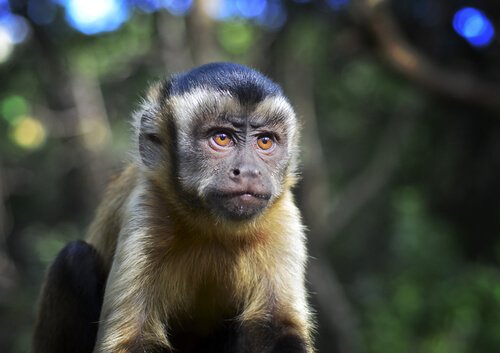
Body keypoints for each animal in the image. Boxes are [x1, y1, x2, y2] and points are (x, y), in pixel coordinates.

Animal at [32, 63, 312, 352]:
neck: (212, 227)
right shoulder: (147, 208)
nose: (248, 171)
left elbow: (276, 327)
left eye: (265, 141)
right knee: (73, 258)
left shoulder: (283, 216)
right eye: (222, 138)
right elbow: (132, 338)